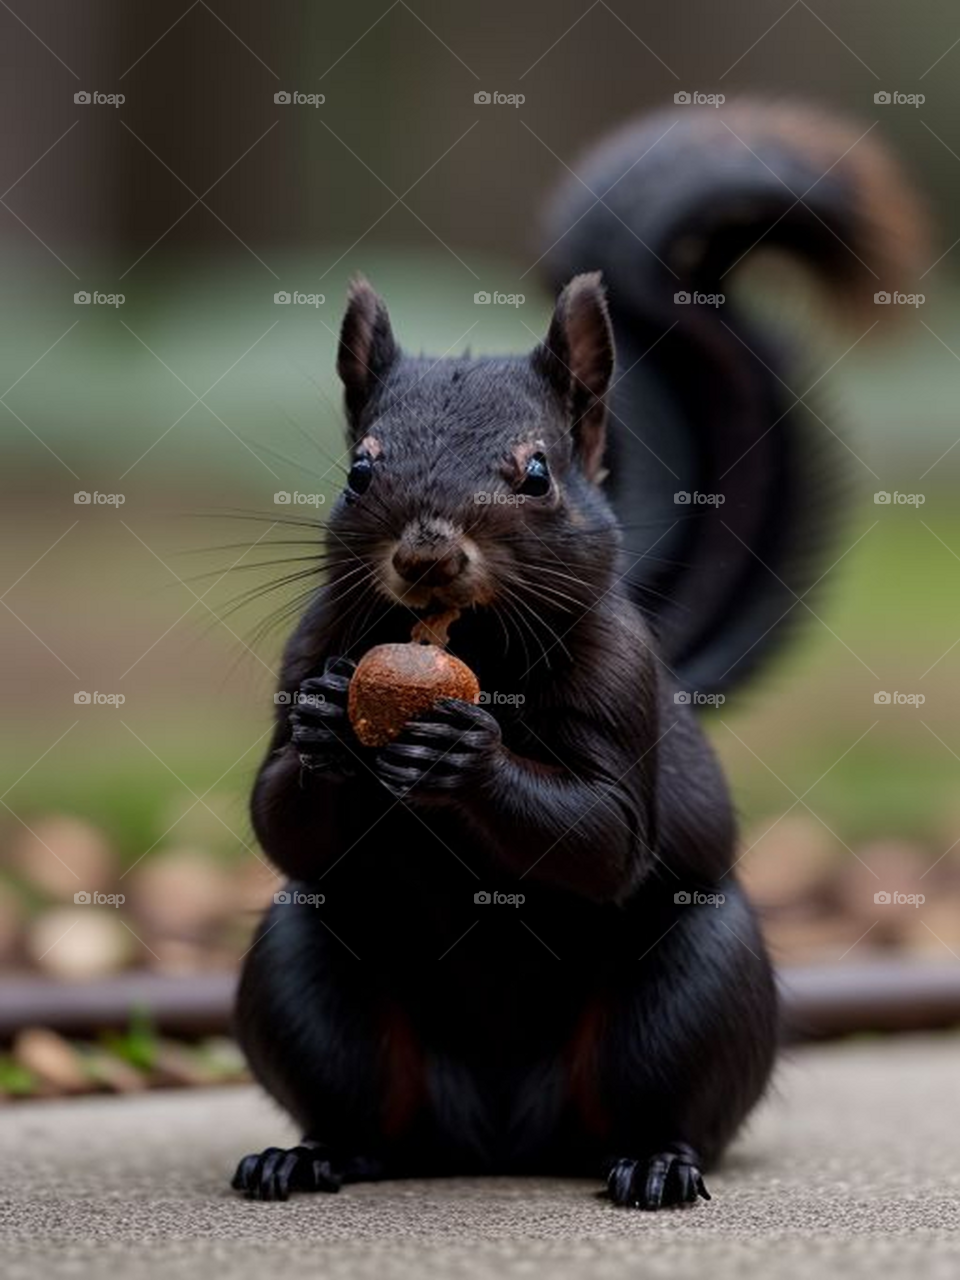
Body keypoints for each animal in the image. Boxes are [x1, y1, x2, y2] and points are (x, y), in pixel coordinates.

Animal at [231, 100, 922, 1208]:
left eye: (538, 473)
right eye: (357, 471)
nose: (427, 555)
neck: (474, 644)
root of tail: (498, 1134)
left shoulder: (622, 682)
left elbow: (601, 836)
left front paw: (462, 752)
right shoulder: (308, 648)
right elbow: (281, 818)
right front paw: (327, 725)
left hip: (692, 992)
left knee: (659, 1102)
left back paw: (656, 1159)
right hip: (308, 976)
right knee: (363, 1111)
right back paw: (310, 1152)